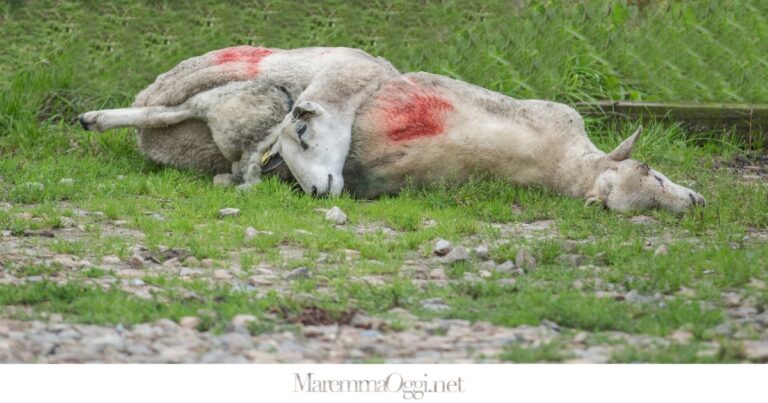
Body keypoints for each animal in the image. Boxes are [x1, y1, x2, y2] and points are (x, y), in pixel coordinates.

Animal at [81, 46, 704, 213]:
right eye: (650, 170)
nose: (695, 203)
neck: (563, 168)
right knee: (176, 113)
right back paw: (99, 118)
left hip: (230, 112)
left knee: (186, 121)